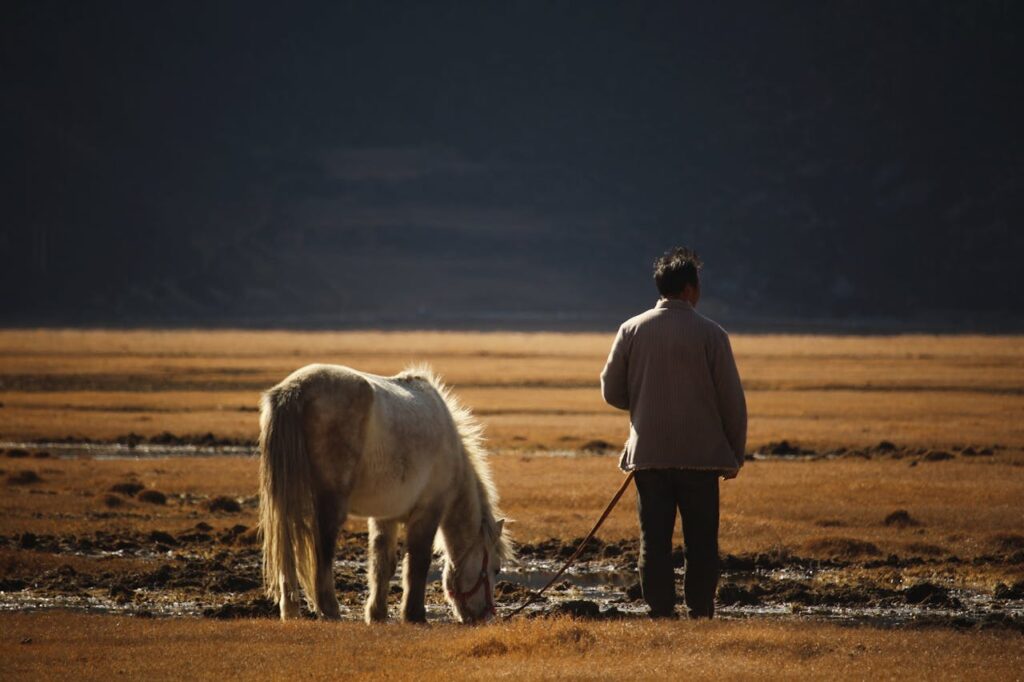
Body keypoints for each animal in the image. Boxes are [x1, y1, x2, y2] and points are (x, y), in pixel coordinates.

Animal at [257, 362, 513, 624]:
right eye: (495, 568)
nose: (485, 616)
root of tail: (295, 389)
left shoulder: (385, 516)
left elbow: (383, 564)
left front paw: (377, 613)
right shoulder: (428, 512)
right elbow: (418, 562)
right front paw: (414, 614)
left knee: (286, 550)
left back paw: (290, 610)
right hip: (329, 505)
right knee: (323, 552)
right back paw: (330, 610)